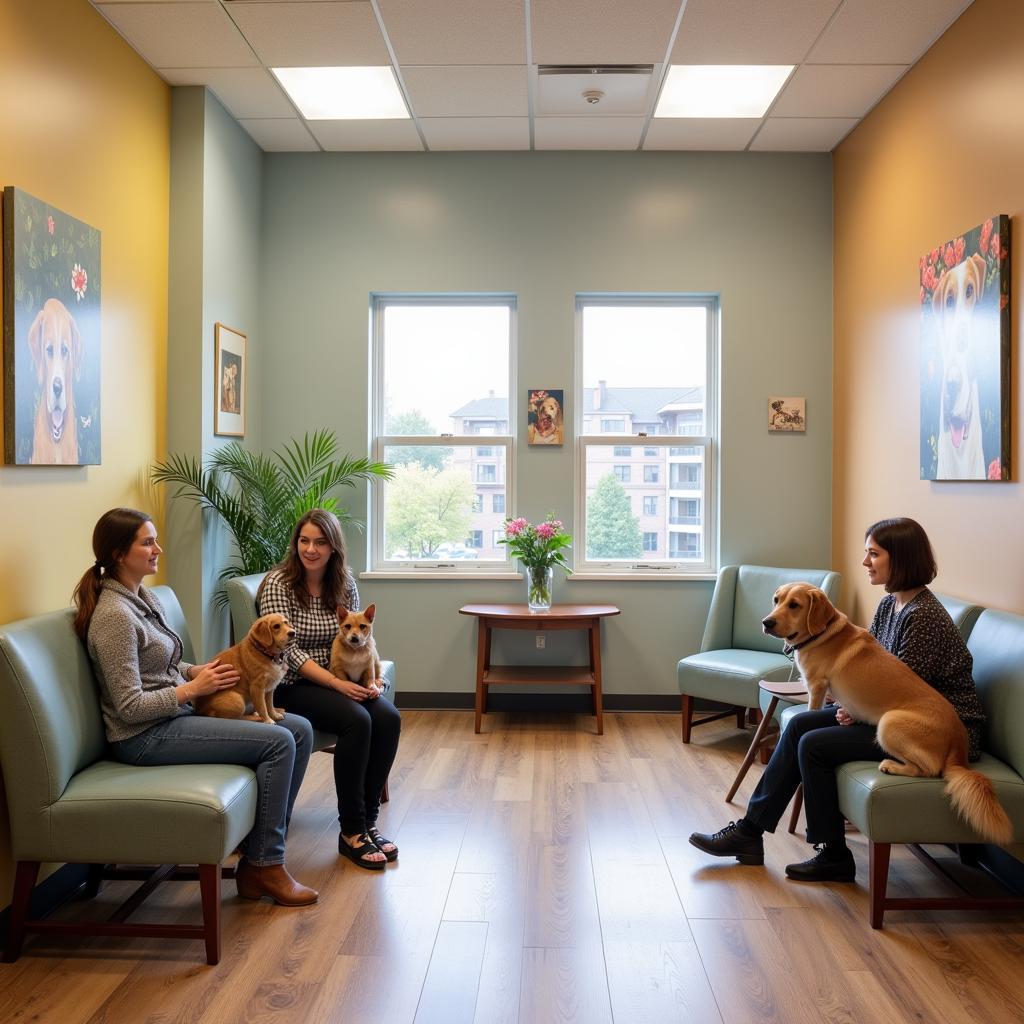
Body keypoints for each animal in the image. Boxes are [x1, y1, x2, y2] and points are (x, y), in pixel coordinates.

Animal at [761, 581, 1007, 843]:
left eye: (794, 605)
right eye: (776, 600)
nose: (767, 622)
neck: (822, 633)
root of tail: (959, 743)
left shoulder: (817, 686)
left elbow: (809, 708)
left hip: (888, 723)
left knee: (930, 769)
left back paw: (892, 766)